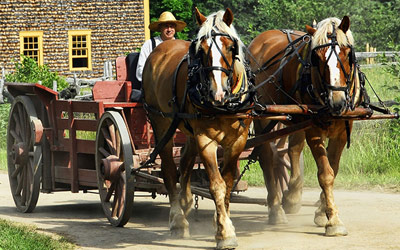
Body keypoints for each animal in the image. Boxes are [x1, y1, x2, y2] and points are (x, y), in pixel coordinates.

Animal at [142, 7, 252, 248]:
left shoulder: (237, 141)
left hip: (187, 128)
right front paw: (225, 233)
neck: (224, 105)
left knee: (185, 161)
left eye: (231, 47)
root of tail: (163, 47)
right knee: (169, 169)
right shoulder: (205, 140)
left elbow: (228, 183)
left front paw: (222, 223)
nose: (217, 92)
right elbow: (217, 185)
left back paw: (186, 201)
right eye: (201, 50)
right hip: (161, 122)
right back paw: (177, 220)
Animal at [248, 16, 360, 236]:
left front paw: (322, 211)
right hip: (264, 115)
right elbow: (325, 174)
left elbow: (333, 169)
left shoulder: (342, 132)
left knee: (292, 149)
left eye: (347, 53)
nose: (337, 101)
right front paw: (333, 221)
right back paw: (276, 209)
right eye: (317, 58)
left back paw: (292, 193)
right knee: (267, 156)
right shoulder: (314, 130)